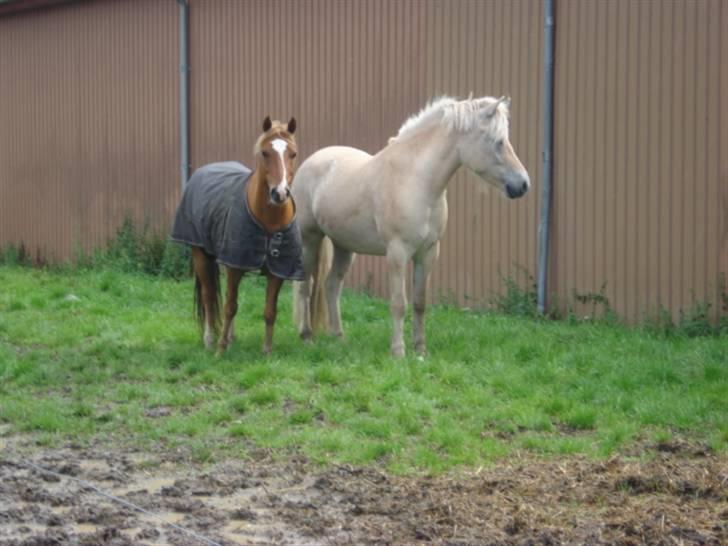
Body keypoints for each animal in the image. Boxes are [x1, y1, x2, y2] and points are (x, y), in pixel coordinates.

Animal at [172, 116, 302, 352]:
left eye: (293, 154)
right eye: (265, 153)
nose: (279, 194)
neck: (268, 220)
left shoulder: (277, 271)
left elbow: (270, 310)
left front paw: (267, 350)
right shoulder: (235, 265)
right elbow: (229, 306)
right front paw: (221, 349)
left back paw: (230, 336)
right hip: (201, 256)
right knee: (209, 296)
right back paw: (210, 340)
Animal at [292, 94, 528, 356]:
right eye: (497, 142)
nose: (522, 185)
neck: (415, 180)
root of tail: (311, 161)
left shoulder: (428, 252)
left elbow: (419, 302)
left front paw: (420, 351)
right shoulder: (397, 252)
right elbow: (398, 303)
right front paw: (398, 352)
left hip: (344, 246)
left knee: (331, 285)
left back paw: (339, 338)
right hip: (310, 239)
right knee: (305, 284)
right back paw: (306, 336)